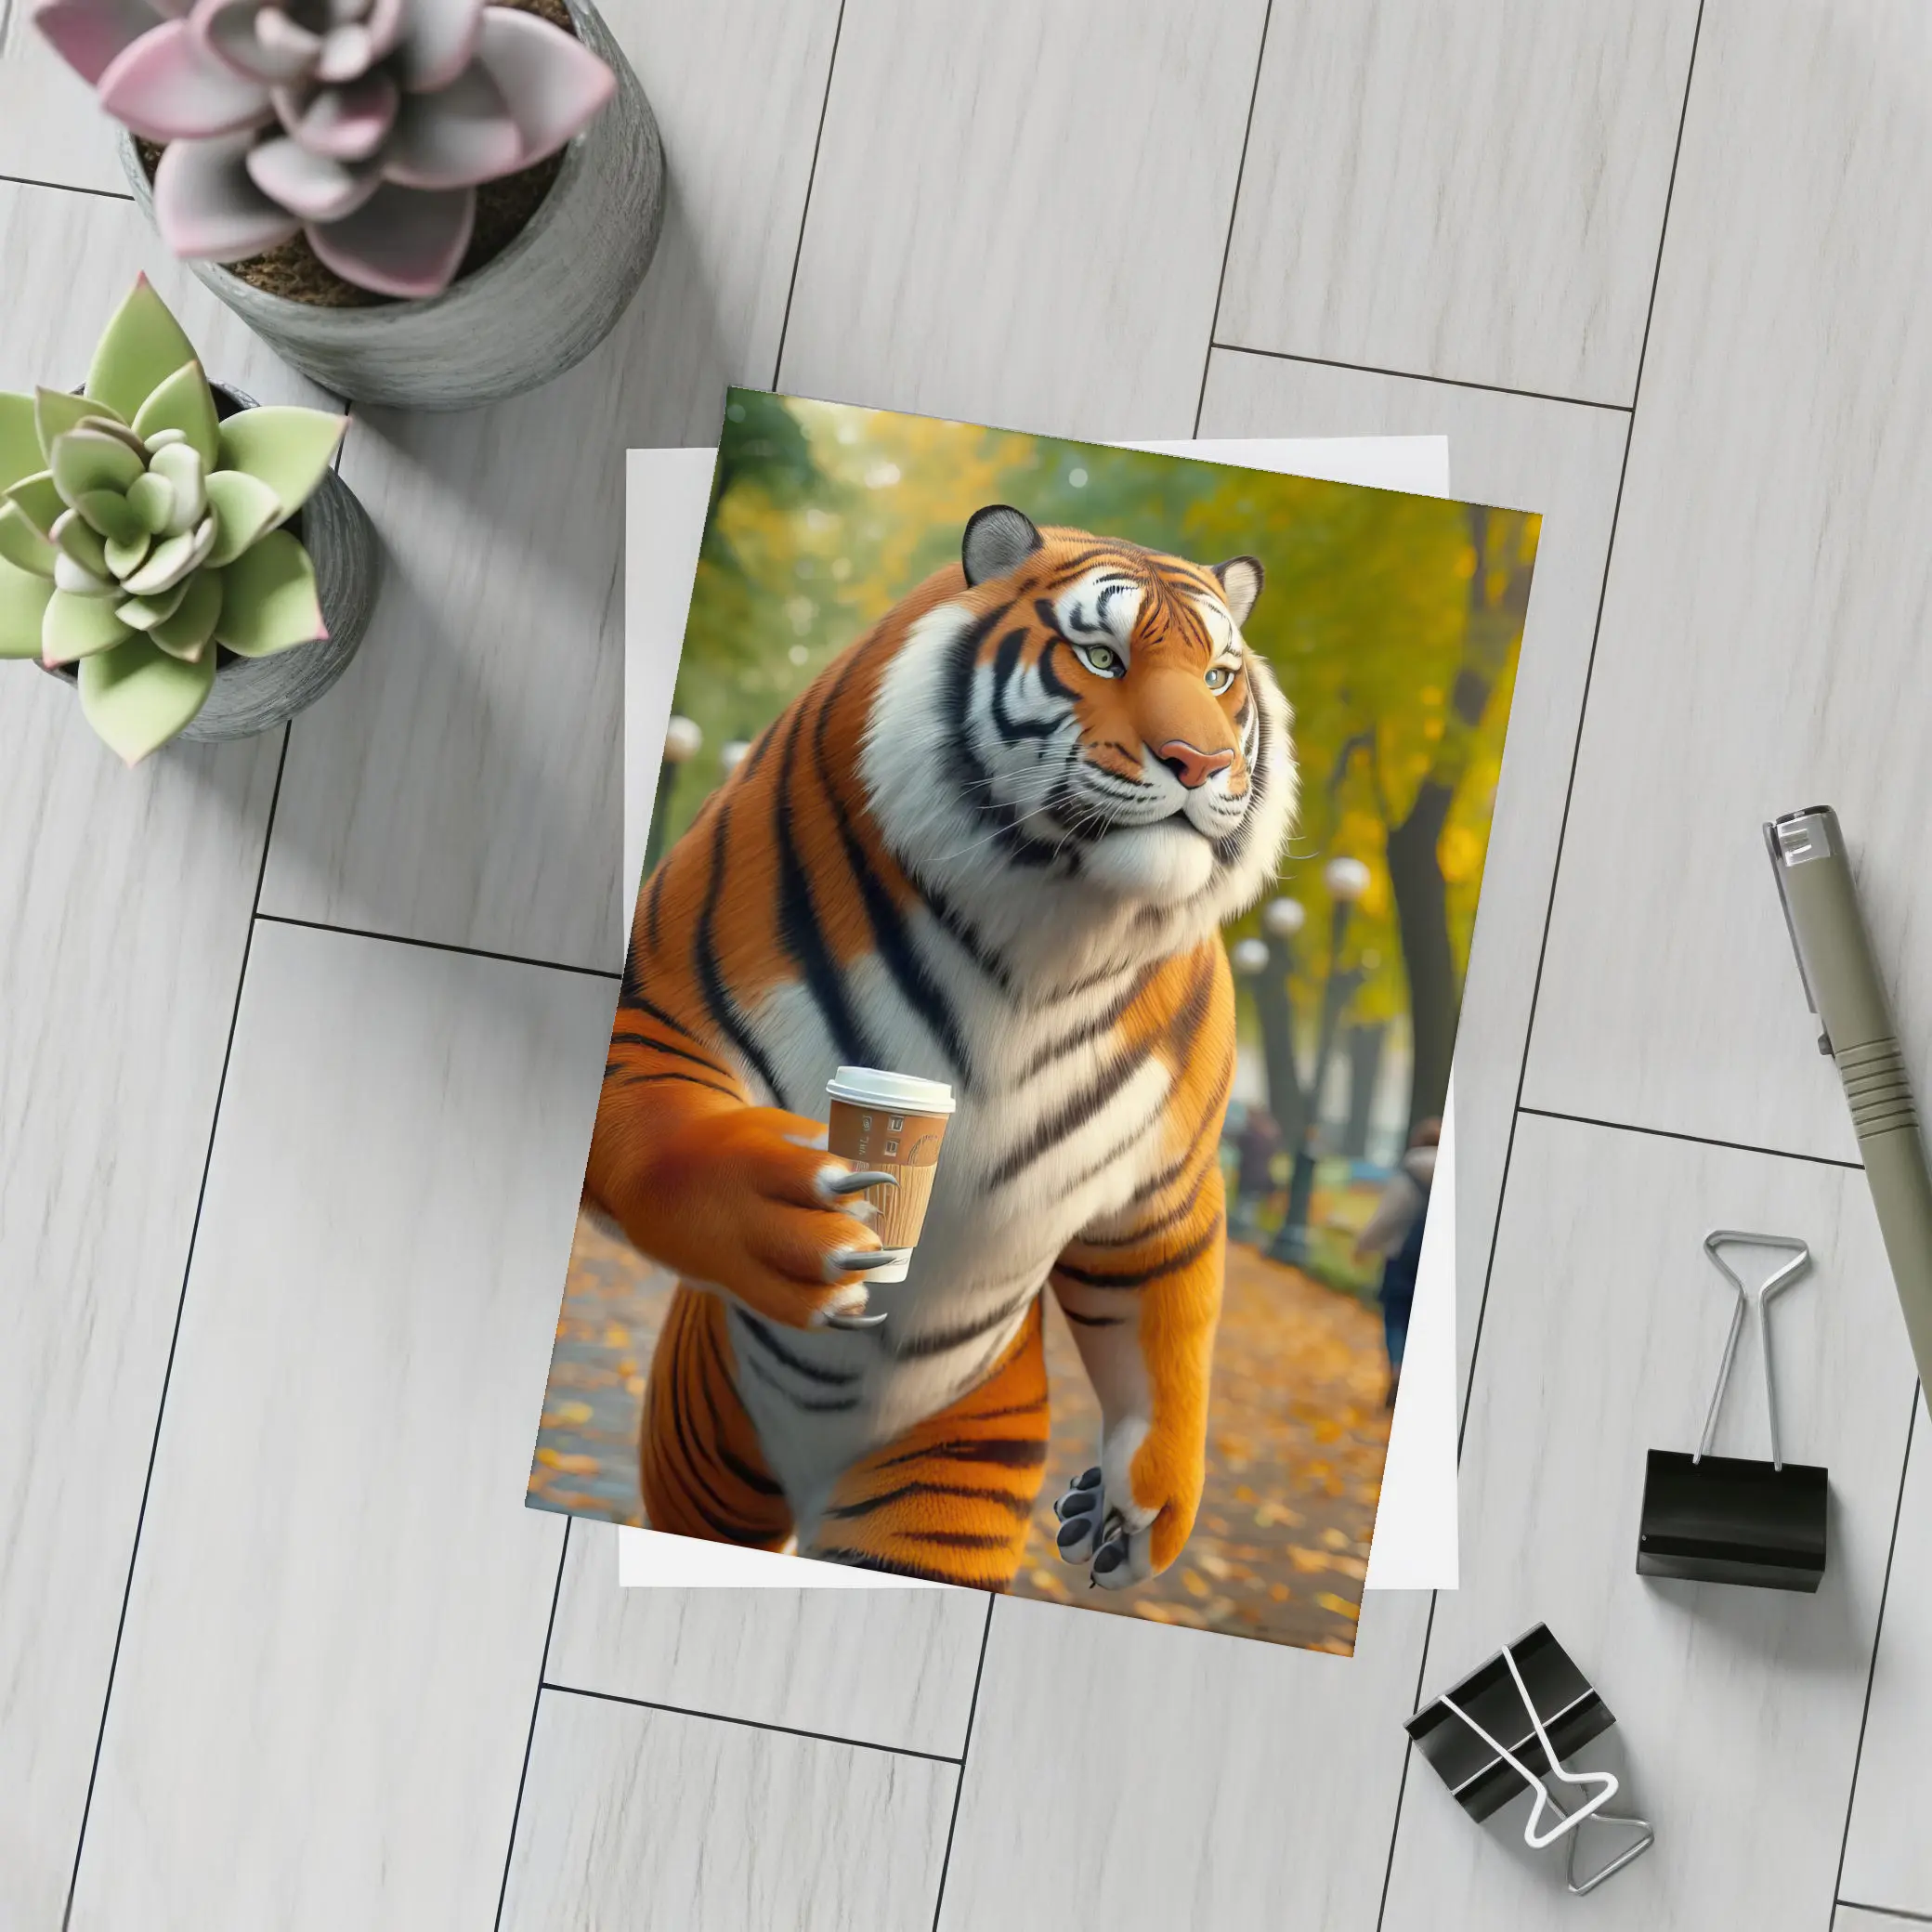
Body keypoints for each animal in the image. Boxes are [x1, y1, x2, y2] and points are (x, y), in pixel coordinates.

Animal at [584, 503, 1298, 1590]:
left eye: (1219, 676)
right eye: (1100, 655)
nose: (1203, 763)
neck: (1054, 926)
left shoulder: (1159, 1191)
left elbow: (1164, 1317)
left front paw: (1145, 1506)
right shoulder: (657, 1015)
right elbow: (657, 1135)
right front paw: (791, 1208)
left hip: (954, 1469)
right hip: (707, 1456)